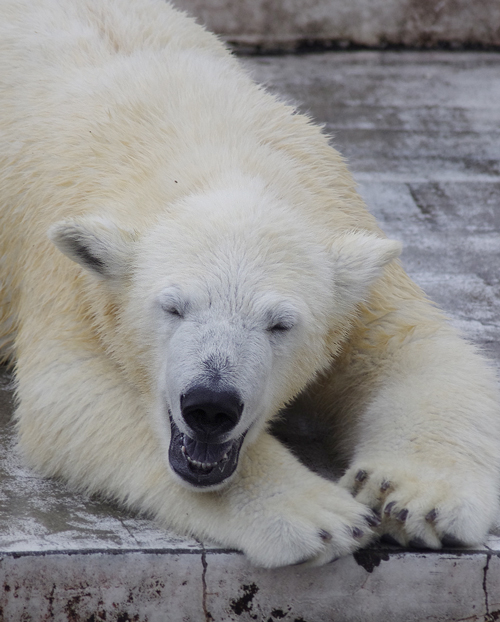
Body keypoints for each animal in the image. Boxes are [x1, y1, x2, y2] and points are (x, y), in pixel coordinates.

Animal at [0, 0, 498, 568]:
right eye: (173, 308)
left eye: (280, 324)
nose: (210, 406)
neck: (211, 150)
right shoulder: (72, 280)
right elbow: (71, 390)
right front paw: (321, 516)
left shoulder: (347, 253)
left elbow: (412, 350)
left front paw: (412, 498)